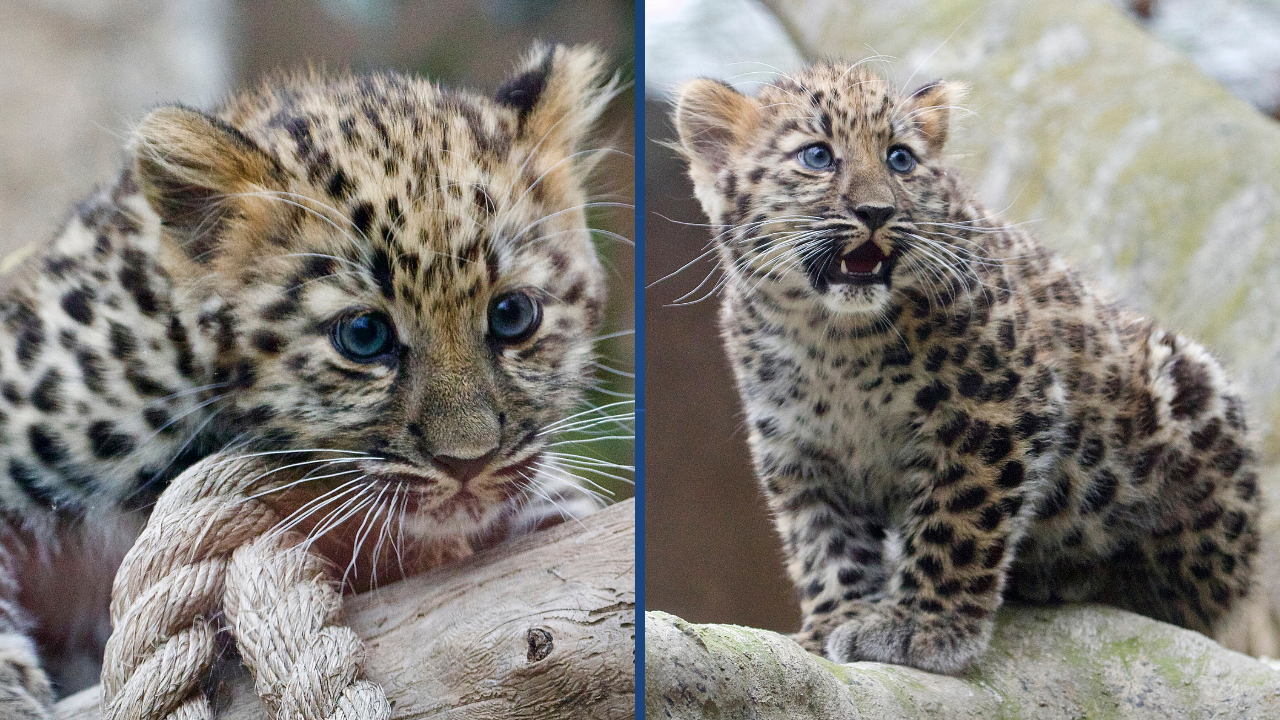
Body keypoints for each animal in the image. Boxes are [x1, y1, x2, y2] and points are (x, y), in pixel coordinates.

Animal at [672, 62, 1261, 674]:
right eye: (817, 155)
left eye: (899, 159)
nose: (876, 212)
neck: (833, 338)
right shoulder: (800, 450)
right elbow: (824, 544)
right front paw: (833, 623)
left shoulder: (997, 408)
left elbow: (956, 520)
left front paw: (921, 628)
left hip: (1192, 392)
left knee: (1192, 596)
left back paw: (1073, 577)